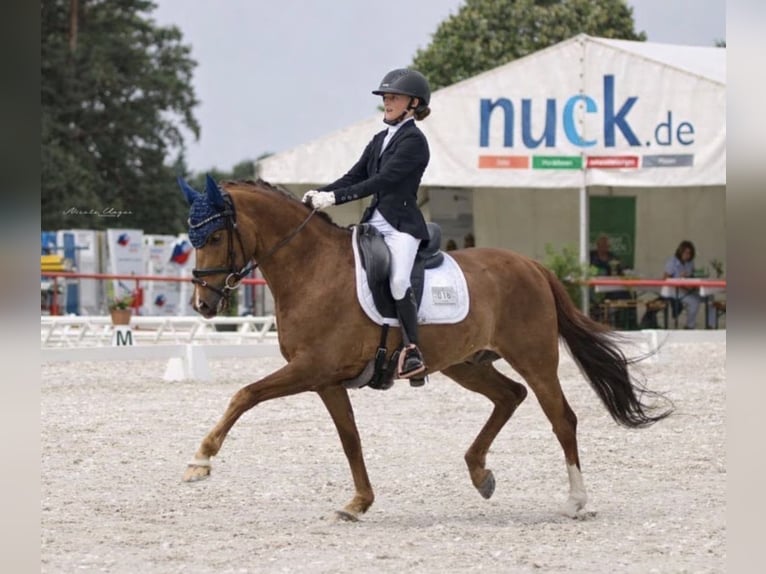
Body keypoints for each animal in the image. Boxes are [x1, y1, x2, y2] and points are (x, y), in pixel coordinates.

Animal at [178, 176, 672, 520]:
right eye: (192, 239)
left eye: (216, 237)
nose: (202, 304)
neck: (312, 269)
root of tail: (532, 264)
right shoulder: (326, 380)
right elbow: (350, 439)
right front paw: (358, 503)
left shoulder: (311, 368)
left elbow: (245, 394)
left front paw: (200, 460)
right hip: (466, 364)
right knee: (509, 396)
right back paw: (480, 473)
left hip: (534, 359)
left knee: (561, 418)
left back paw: (575, 501)